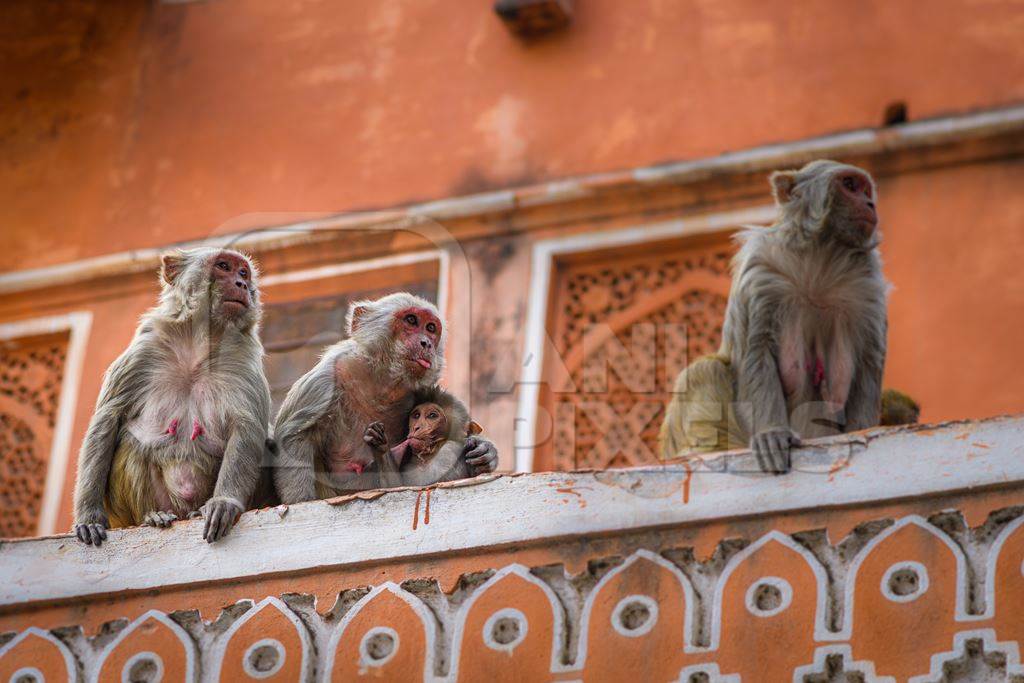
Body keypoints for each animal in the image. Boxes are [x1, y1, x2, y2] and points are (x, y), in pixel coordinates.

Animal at [73, 248, 270, 548]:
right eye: (224, 266)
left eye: (243, 272)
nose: (242, 285)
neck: (198, 341)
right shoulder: (145, 348)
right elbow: (107, 419)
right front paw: (89, 516)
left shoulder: (242, 355)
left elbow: (248, 428)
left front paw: (224, 503)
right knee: (130, 440)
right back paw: (153, 516)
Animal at [272, 290, 495, 499]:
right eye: (411, 320)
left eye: (431, 328)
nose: (427, 343)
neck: (383, 384)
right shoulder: (328, 376)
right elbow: (294, 436)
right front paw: (301, 499)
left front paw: (485, 450)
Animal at [663, 160, 888, 473]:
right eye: (850, 185)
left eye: (866, 190)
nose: (870, 204)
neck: (821, 259)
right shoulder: (762, 271)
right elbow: (756, 352)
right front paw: (771, 434)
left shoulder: (868, 290)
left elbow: (868, 364)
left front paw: (863, 432)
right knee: (705, 370)